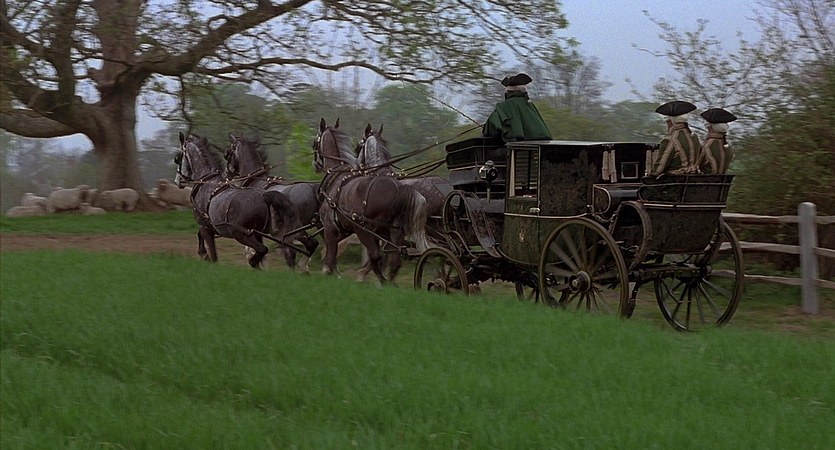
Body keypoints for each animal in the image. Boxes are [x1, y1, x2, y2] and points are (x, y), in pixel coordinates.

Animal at [174, 132, 302, 268]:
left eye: (177, 158)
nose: (177, 181)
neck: (207, 181)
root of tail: (265, 196)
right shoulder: (209, 227)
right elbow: (200, 236)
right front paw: (203, 254)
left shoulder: (205, 227)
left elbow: (213, 254)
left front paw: (205, 255)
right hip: (258, 233)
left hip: (241, 233)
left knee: (263, 250)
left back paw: (253, 262)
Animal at [225, 133, 320, 271]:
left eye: (228, 153)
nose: (226, 173)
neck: (256, 180)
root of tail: (313, 189)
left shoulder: (254, 230)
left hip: (296, 230)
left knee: (302, 249)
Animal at [313, 118, 433, 284]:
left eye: (315, 142)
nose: (315, 166)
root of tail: (399, 189)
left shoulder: (330, 227)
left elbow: (331, 254)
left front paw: (328, 273)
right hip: (394, 232)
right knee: (394, 260)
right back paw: (387, 282)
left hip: (365, 230)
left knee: (376, 255)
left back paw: (376, 279)